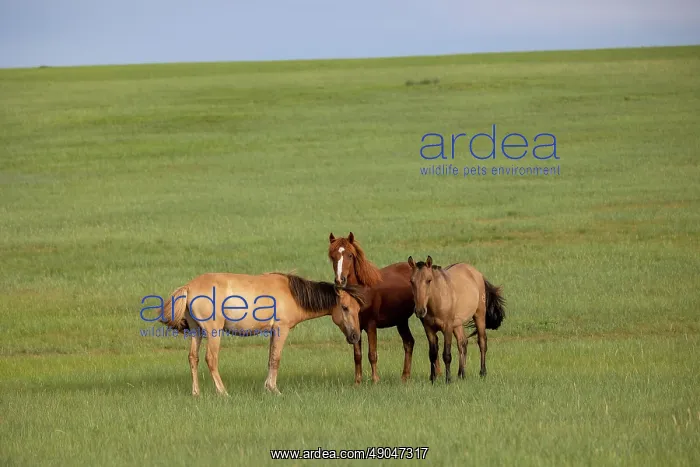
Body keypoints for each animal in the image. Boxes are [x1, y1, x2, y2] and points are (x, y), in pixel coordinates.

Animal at [155, 271, 366, 396]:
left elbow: (270, 359)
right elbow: (276, 359)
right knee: (211, 359)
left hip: (196, 331)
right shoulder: (281, 330)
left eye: (358, 309)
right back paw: (223, 392)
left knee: (193, 358)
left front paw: (267, 387)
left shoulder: (273, 332)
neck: (292, 293)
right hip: (213, 332)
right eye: (345, 308)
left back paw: (196, 393)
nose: (355, 337)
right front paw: (274, 389)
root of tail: (189, 287)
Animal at [327, 232, 441, 385]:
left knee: (432, 341)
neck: (363, 291)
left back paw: (438, 373)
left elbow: (372, 354)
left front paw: (375, 380)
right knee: (409, 343)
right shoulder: (355, 327)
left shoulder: (371, 324)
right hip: (401, 320)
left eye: (350, 255)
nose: (340, 280)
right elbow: (357, 355)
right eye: (333, 256)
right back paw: (405, 376)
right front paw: (357, 381)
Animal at [408, 255, 506, 384]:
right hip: (458, 324)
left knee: (482, 342)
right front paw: (433, 379)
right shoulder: (429, 329)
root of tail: (477, 274)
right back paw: (461, 374)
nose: (420, 311)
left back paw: (482, 373)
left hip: (479, 315)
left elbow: (447, 354)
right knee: (462, 342)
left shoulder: (447, 327)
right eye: (411, 281)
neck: (438, 300)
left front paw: (448, 379)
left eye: (429, 280)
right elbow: (432, 354)